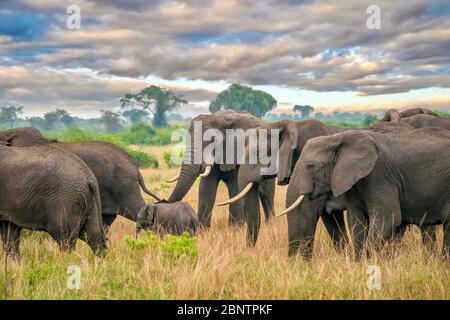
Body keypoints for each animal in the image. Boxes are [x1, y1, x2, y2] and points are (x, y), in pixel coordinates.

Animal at [282, 127, 450, 260]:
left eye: (311, 166)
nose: (296, 264)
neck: (337, 138)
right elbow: (355, 220)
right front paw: (359, 264)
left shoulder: (379, 175)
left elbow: (389, 218)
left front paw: (369, 263)